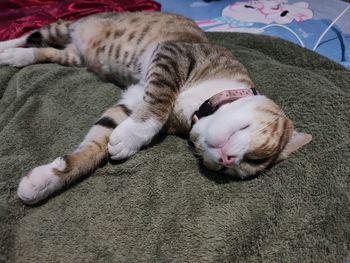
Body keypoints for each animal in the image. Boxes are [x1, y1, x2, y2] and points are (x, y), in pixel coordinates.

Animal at [0, 11, 314, 205]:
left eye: (238, 169)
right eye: (257, 158)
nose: (228, 160)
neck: (196, 106)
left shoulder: (132, 101)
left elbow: (97, 143)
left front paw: (45, 181)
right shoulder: (172, 55)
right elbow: (160, 102)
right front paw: (132, 136)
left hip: (73, 57)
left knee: (44, 49)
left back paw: (16, 56)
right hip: (70, 26)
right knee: (32, 33)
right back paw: (6, 47)